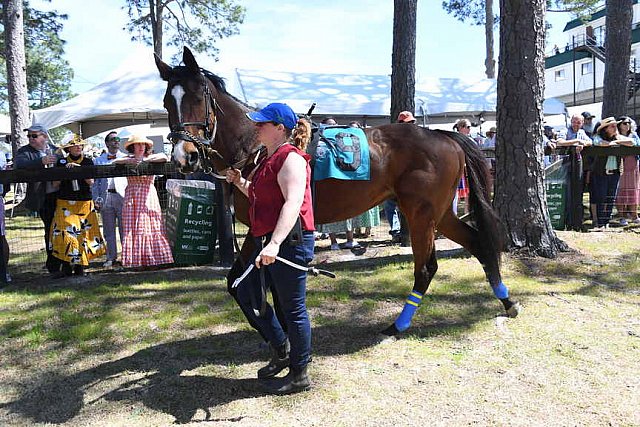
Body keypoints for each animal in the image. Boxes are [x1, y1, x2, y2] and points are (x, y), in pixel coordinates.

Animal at [154, 45, 520, 336]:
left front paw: (276, 334)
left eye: (198, 97)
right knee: (478, 244)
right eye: (167, 102)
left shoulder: (266, 228)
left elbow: (251, 285)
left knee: (426, 267)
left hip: (420, 214)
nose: (184, 156)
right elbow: (243, 282)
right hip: (441, 212)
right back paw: (507, 302)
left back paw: (399, 324)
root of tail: (444, 135)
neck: (256, 146)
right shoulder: (266, 230)